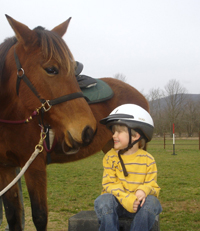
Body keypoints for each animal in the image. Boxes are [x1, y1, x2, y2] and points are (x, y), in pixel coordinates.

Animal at [0, 15, 97, 231]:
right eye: (51, 69)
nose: (88, 130)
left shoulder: (34, 165)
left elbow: (39, 216)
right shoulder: (6, 169)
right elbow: (13, 215)